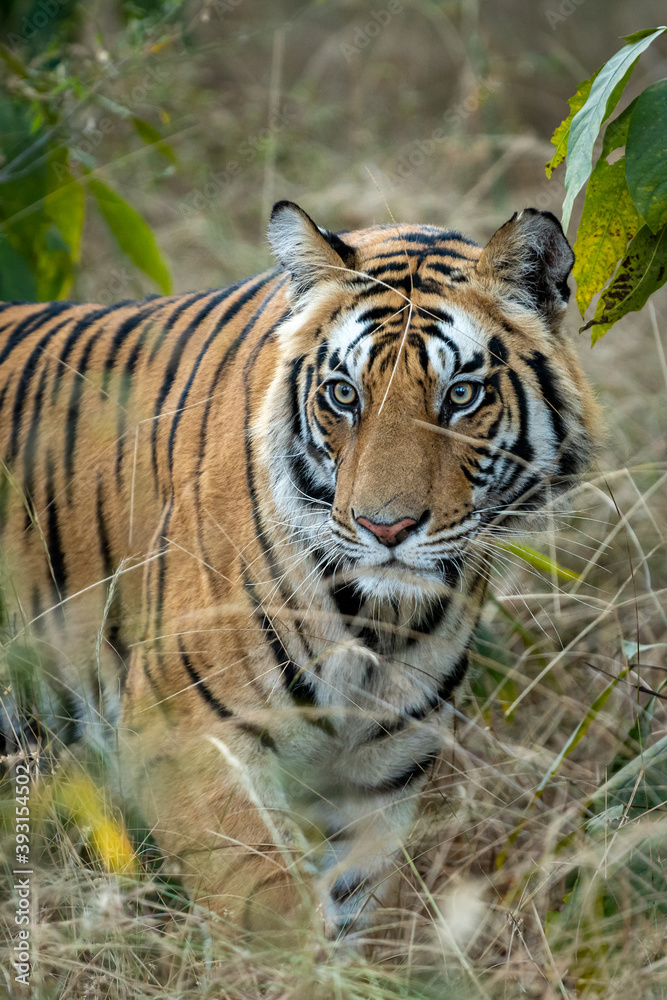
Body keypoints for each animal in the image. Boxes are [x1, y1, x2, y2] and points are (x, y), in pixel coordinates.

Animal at [0, 201, 600, 938]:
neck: (379, 624)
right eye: (343, 395)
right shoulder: (181, 736)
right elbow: (273, 915)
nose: (385, 528)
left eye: (461, 395)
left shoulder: (377, 773)